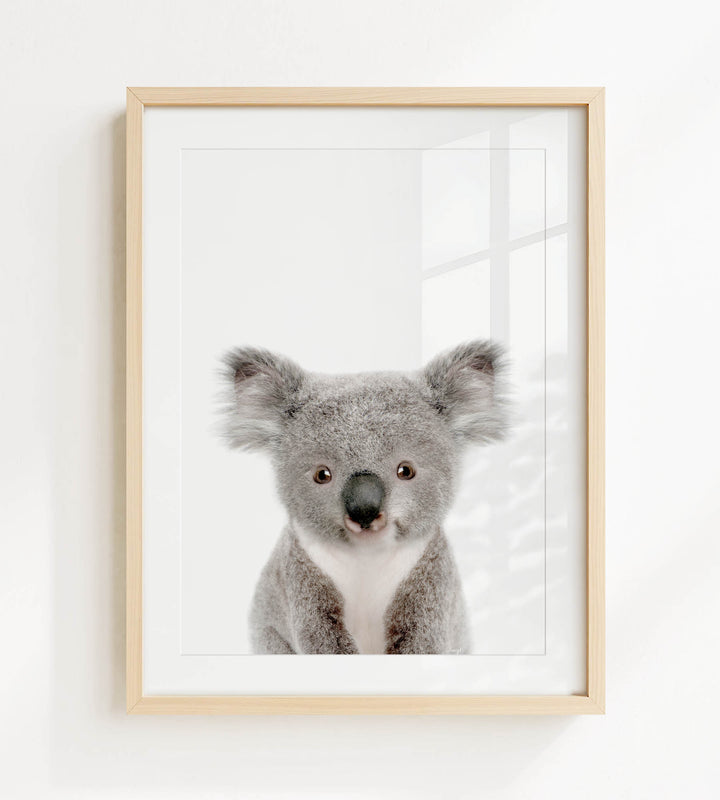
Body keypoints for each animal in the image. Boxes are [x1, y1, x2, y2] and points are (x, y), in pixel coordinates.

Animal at [219, 340, 508, 655]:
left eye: (406, 471)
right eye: (322, 475)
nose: (364, 510)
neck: (367, 558)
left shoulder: (431, 577)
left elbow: (421, 638)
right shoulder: (301, 576)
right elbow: (321, 637)